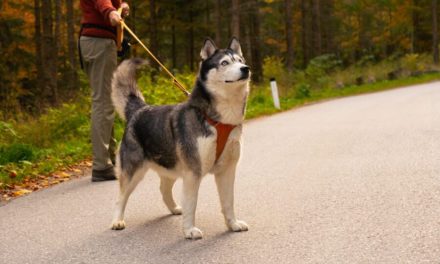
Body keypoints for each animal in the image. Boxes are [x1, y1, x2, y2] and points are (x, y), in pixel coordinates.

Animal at [109, 37, 249, 239]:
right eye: (224, 63)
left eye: (240, 60)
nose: (246, 68)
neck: (220, 120)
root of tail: (139, 109)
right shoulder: (193, 172)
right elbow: (192, 203)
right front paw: (189, 230)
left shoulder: (227, 170)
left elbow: (228, 202)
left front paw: (233, 224)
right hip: (133, 172)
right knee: (121, 196)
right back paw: (117, 220)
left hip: (171, 166)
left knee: (163, 189)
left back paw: (174, 208)